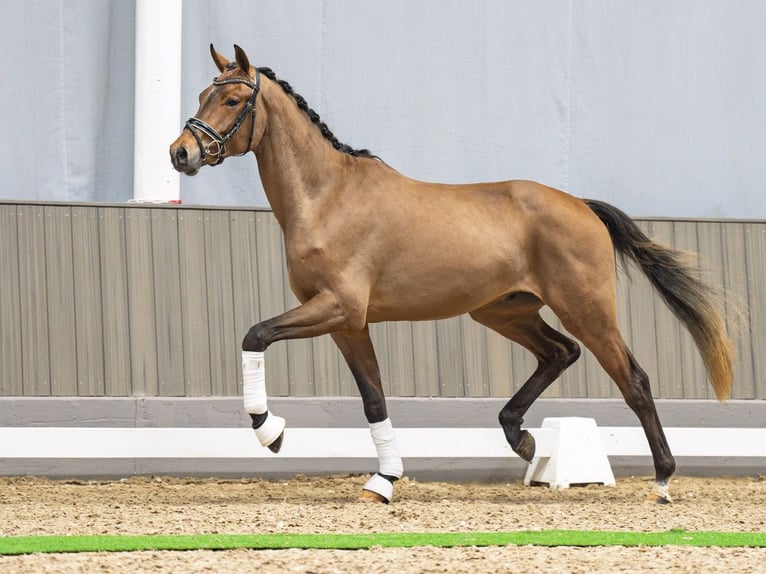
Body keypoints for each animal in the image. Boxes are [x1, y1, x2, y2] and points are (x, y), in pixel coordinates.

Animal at [171, 44, 736, 504]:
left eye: (230, 100)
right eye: (201, 93)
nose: (181, 152)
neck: (327, 197)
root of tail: (582, 205)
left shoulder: (337, 307)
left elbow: (255, 335)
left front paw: (271, 432)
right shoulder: (349, 323)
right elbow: (373, 398)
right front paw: (383, 481)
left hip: (586, 308)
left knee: (632, 380)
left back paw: (662, 481)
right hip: (503, 312)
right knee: (560, 353)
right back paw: (521, 437)